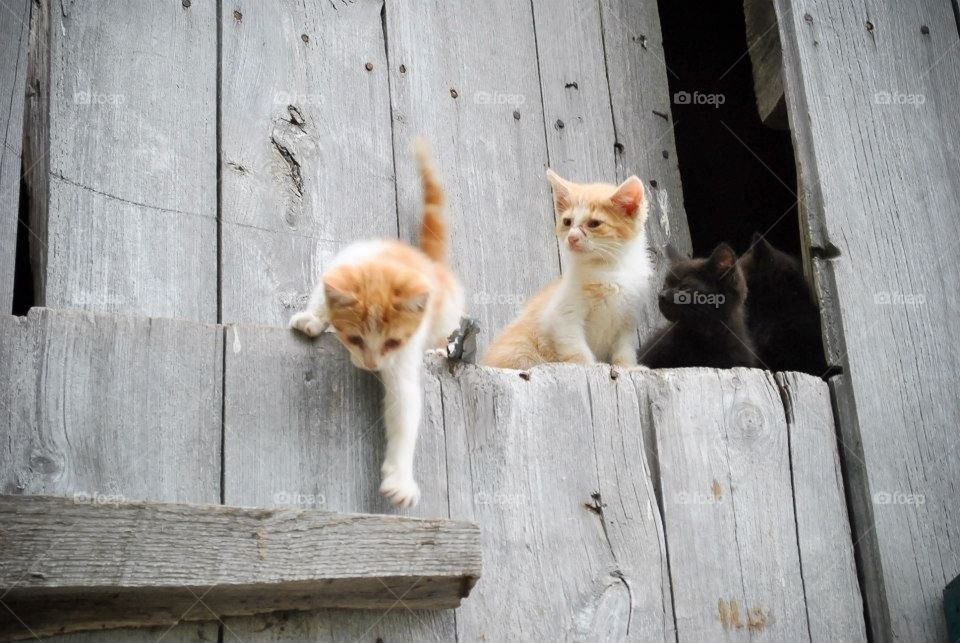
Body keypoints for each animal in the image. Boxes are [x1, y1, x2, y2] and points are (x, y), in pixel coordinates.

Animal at [288, 143, 462, 510]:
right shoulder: (344, 261)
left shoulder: (405, 358)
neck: (388, 262)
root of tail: (430, 262)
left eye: (392, 343)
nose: (371, 365)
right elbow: (321, 293)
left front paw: (400, 480)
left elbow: (405, 409)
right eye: (353, 338)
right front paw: (313, 317)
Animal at [480, 171, 652, 370]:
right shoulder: (562, 316)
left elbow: (624, 348)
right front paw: (588, 366)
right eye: (567, 222)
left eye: (594, 223)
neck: (609, 268)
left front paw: (627, 366)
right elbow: (575, 347)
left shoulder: (628, 319)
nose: (572, 237)